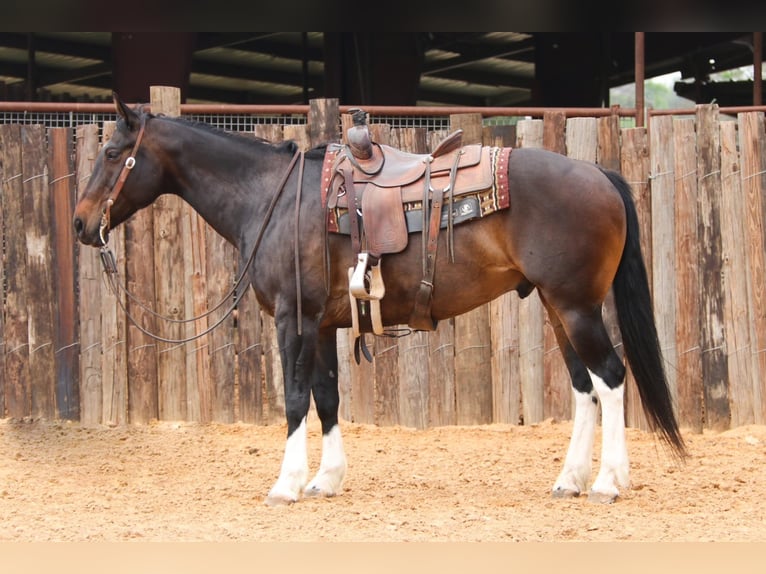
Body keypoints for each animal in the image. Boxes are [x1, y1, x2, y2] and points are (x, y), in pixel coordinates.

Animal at [73, 94, 688, 508]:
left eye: (113, 152)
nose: (80, 224)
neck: (272, 197)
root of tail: (599, 173)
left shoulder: (294, 320)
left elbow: (294, 399)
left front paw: (286, 484)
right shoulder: (322, 324)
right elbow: (326, 397)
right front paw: (326, 479)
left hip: (577, 306)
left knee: (611, 377)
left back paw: (608, 482)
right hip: (559, 308)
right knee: (585, 386)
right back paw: (570, 479)